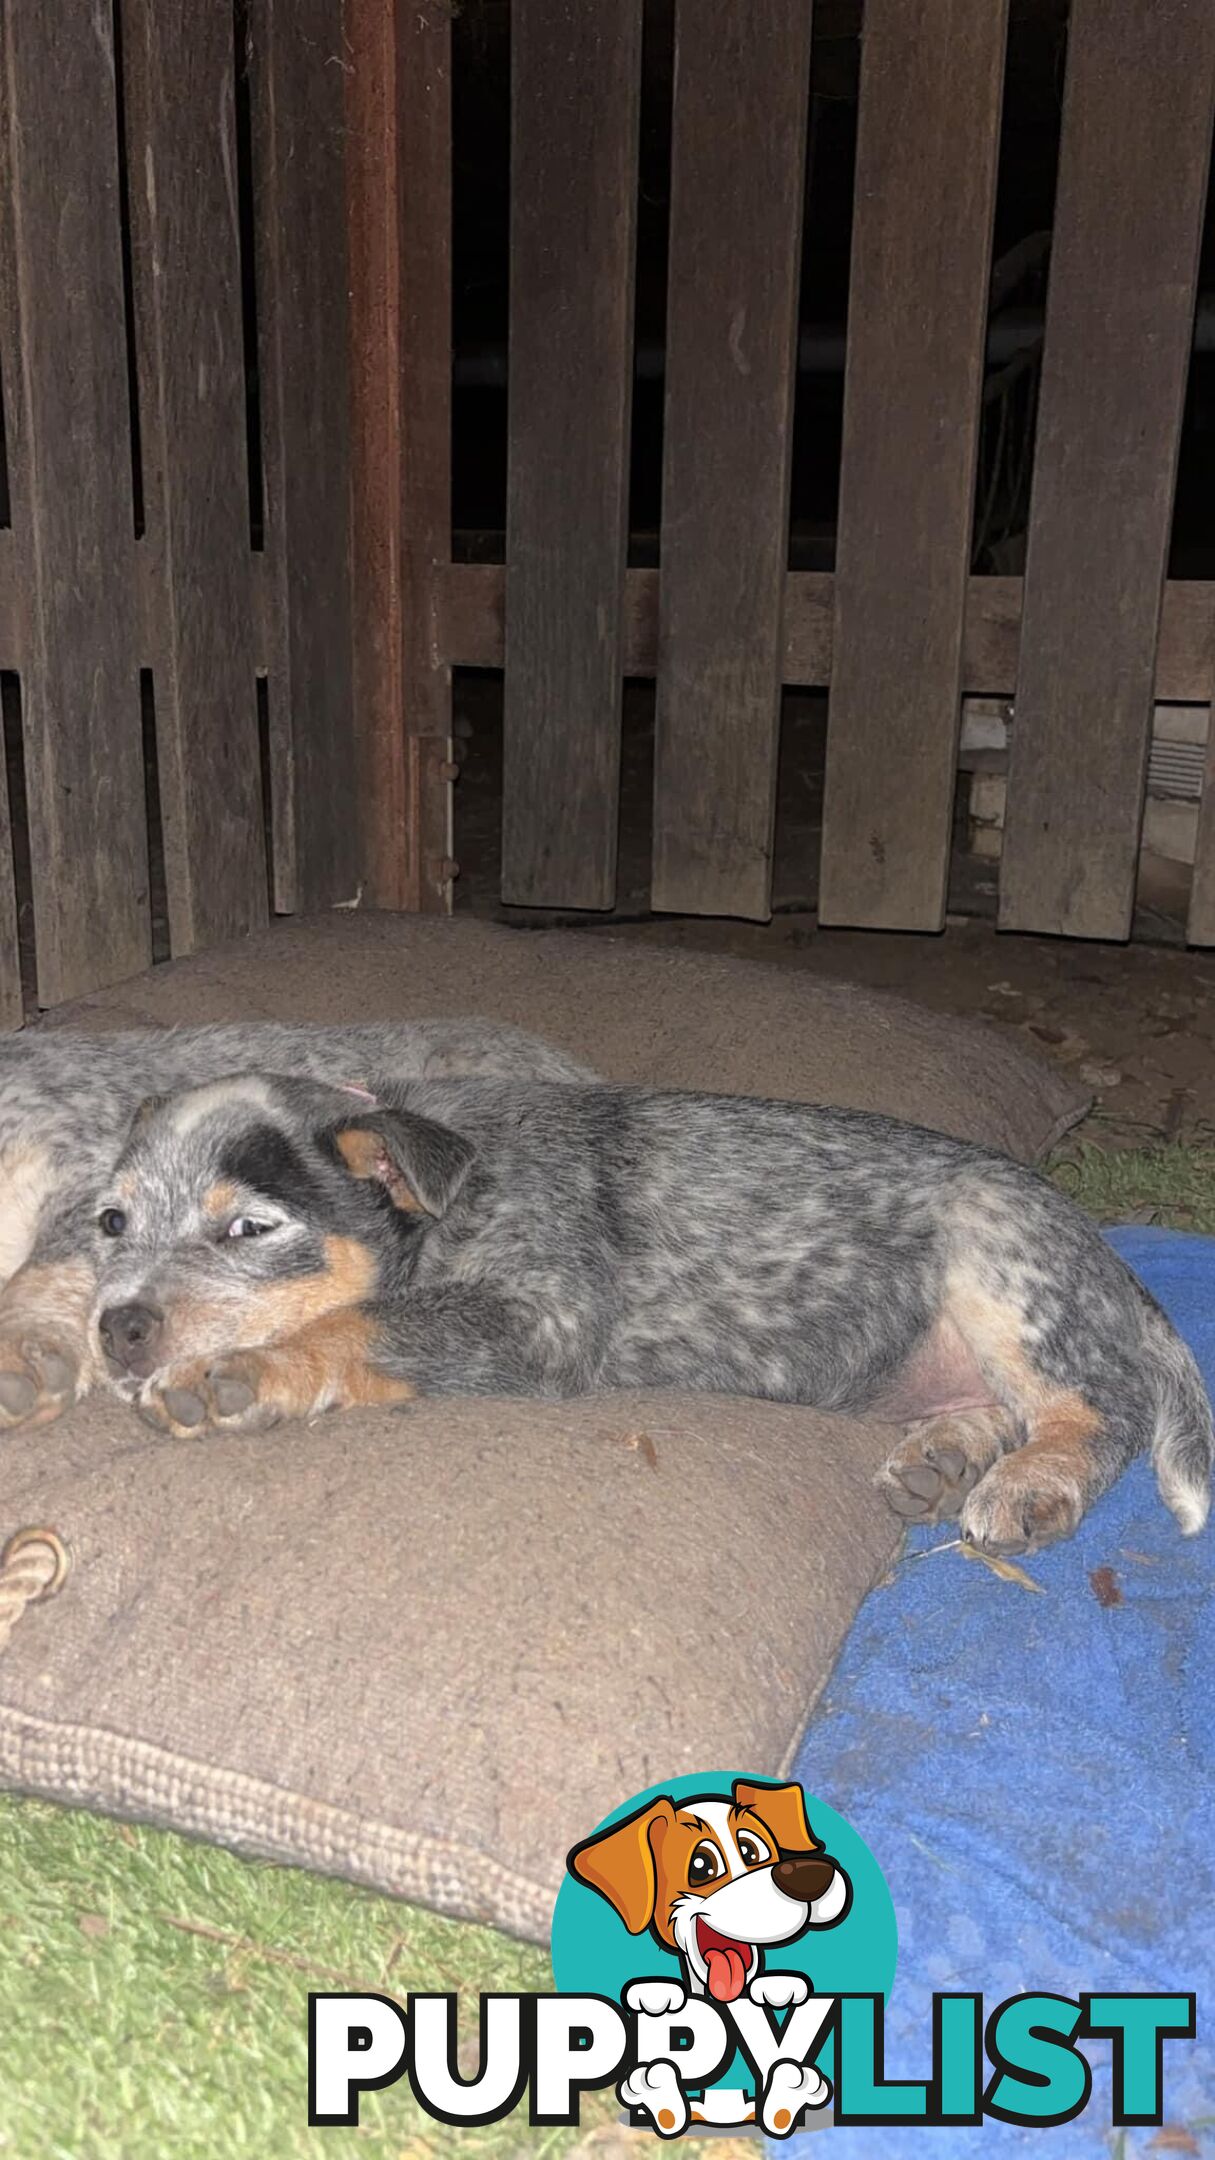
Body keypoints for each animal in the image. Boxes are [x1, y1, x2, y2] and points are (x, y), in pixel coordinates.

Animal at [75, 1067, 1202, 1555]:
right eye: (109, 1222)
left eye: (249, 1229)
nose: (117, 1327)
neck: (447, 1208)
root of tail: (1102, 1253)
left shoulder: (542, 1319)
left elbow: (356, 1325)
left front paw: (240, 1376)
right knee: (1004, 1404)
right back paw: (945, 1455)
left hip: (997, 1252)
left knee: (1102, 1406)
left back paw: (1032, 1486)